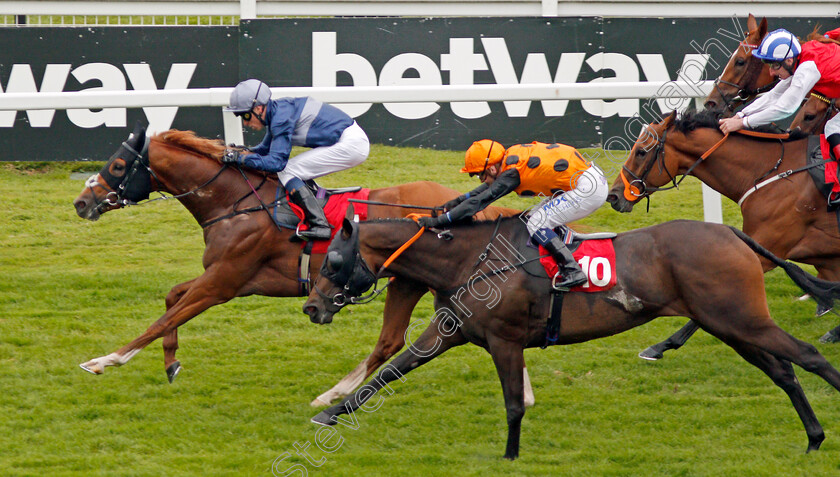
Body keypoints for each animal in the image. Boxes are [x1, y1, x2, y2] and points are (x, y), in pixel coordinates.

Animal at [72, 122, 520, 406]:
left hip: (409, 280)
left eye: (117, 165)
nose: (80, 202)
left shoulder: (222, 284)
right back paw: (333, 394)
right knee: (390, 341)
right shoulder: (223, 278)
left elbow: (163, 318)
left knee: (392, 340)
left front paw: (104, 360)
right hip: (406, 280)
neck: (235, 204)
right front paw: (171, 363)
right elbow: (170, 300)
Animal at [304, 216, 840, 458]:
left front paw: (510, 455)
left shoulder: (504, 340)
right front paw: (330, 412)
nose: (311, 306)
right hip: (727, 324)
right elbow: (395, 369)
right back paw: (813, 438)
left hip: (740, 319)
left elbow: (513, 403)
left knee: (808, 356)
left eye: (333, 261)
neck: (470, 261)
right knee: (783, 371)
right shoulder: (451, 330)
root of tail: (731, 233)